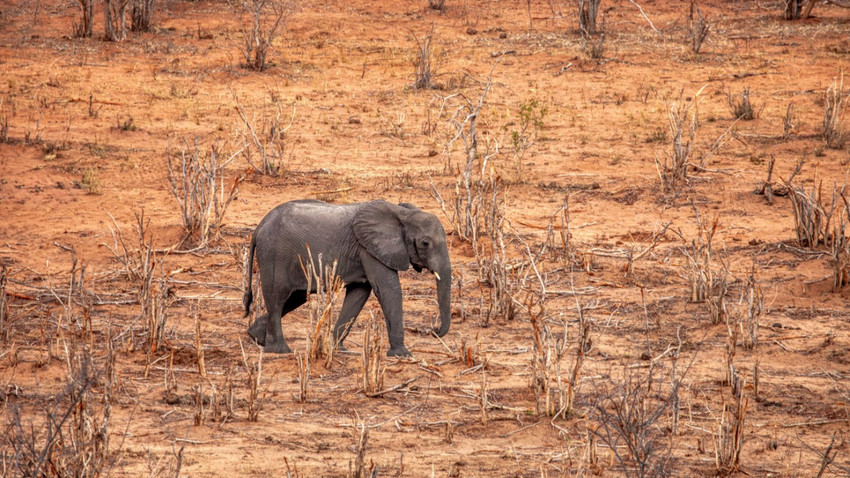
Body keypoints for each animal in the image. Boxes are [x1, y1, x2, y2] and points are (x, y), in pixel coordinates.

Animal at [240, 196, 450, 356]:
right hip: (274, 255)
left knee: (293, 297)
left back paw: (256, 337)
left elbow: (359, 294)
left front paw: (338, 349)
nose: (433, 331)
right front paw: (402, 355)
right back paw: (280, 350)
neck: (402, 214)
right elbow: (388, 291)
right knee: (278, 297)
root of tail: (258, 228)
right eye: (425, 243)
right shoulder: (369, 248)